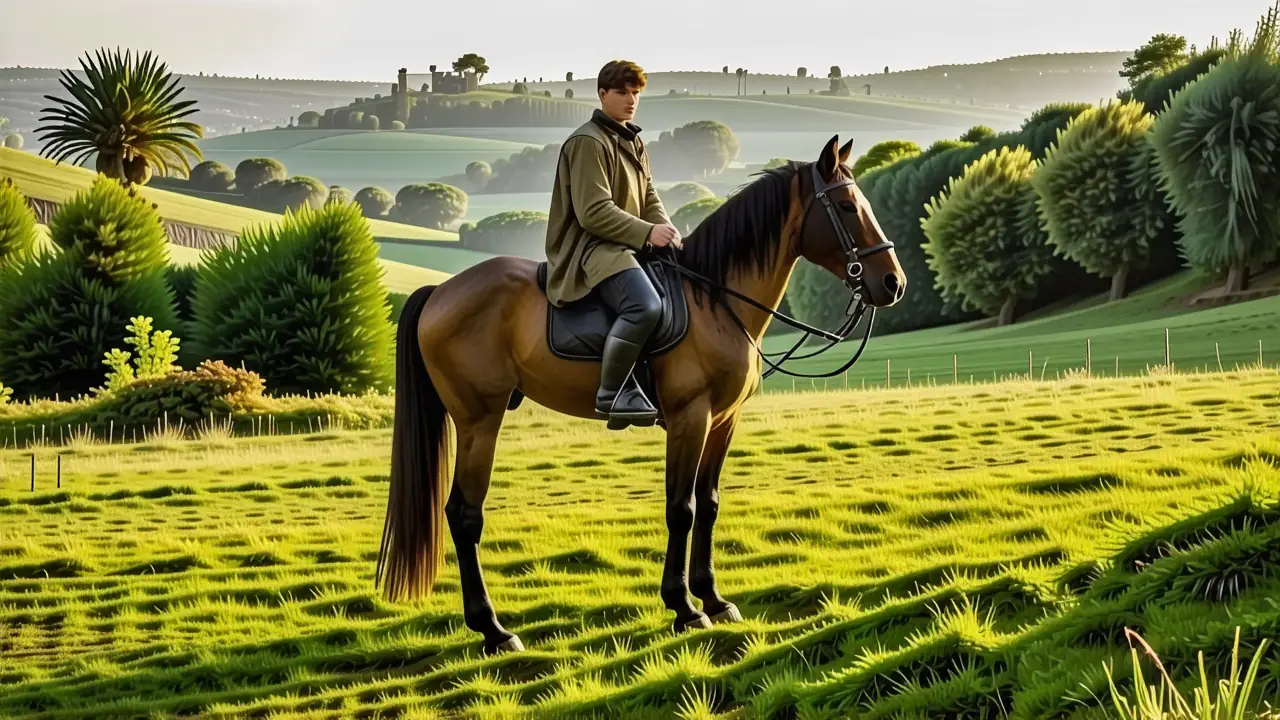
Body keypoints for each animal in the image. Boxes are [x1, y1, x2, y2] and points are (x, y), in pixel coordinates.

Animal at [376, 134, 907, 654]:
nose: (893, 283)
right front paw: (684, 607)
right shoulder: (691, 418)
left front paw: (714, 599)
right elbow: (681, 509)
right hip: (479, 422)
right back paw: (493, 629)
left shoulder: (723, 420)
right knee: (464, 516)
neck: (715, 299)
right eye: (846, 205)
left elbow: (708, 504)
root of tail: (441, 292)